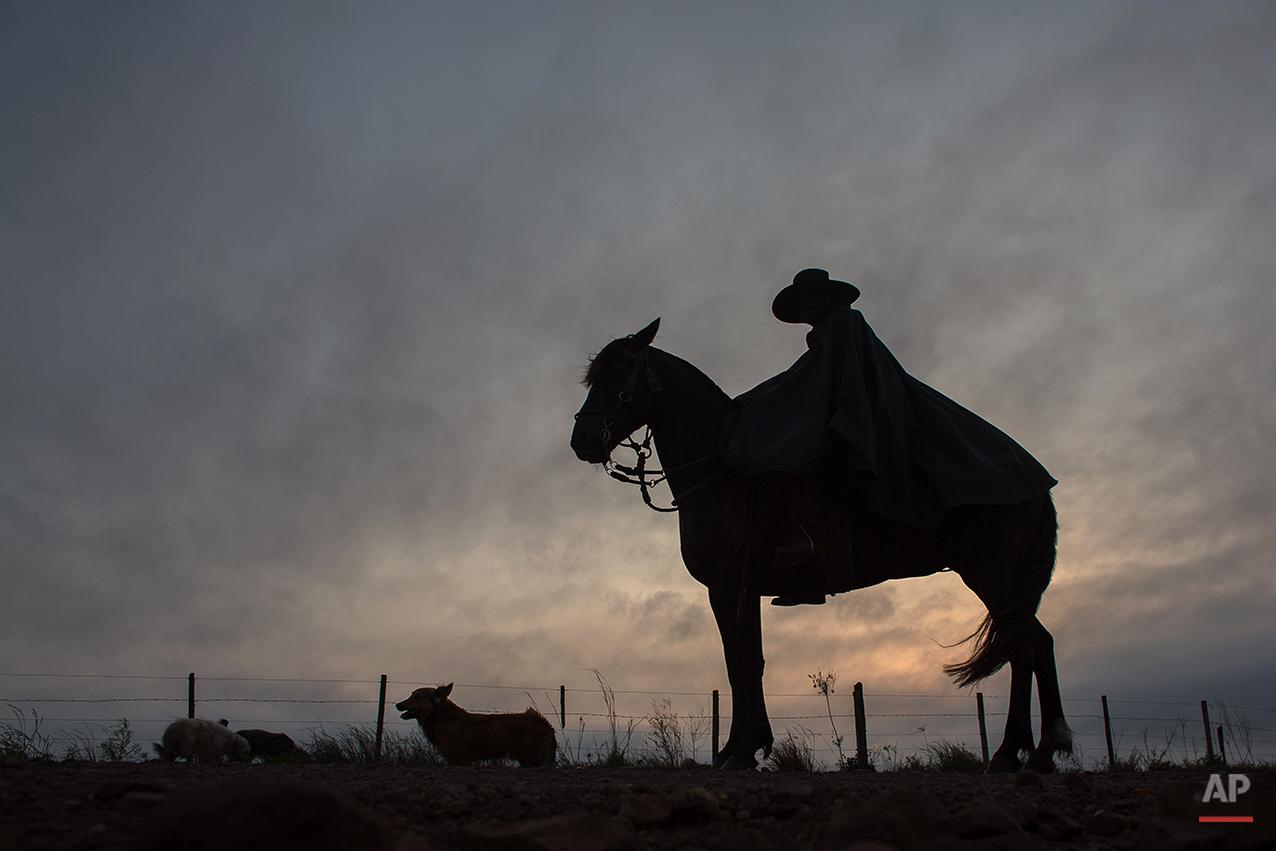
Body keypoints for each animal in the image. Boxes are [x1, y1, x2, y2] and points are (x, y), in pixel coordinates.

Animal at [395, 683, 556, 770]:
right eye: (411, 695)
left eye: (418, 697)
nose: (397, 705)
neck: (442, 717)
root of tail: (544, 723)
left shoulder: (459, 758)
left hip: (531, 758)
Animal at [574, 317, 1071, 770]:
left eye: (617, 373)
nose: (581, 441)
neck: (719, 473)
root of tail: (1036, 478)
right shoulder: (736, 591)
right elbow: (741, 663)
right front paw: (737, 748)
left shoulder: (729, 584)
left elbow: (744, 663)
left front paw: (744, 750)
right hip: (1003, 583)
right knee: (1031, 646)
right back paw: (1029, 751)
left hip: (994, 574)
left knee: (1027, 647)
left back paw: (1022, 752)